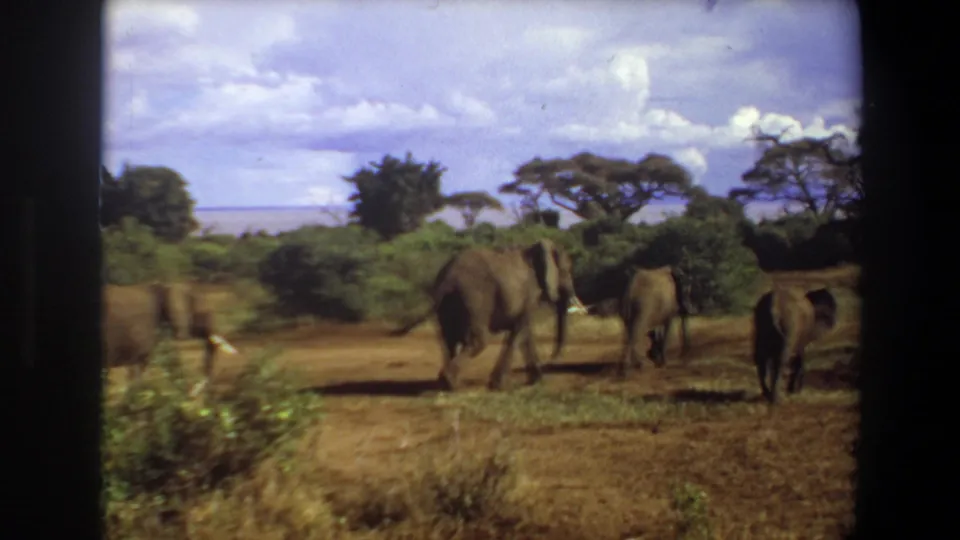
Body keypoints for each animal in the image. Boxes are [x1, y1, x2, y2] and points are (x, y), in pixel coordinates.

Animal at [390, 239, 582, 391]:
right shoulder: (529, 292)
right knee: (478, 342)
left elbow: (524, 333)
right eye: (566, 271)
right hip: (474, 299)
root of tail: (448, 278)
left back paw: (449, 383)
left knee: (449, 340)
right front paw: (500, 386)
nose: (553, 357)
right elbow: (520, 329)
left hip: (450, 305)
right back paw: (452, 384)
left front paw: (537, 381)